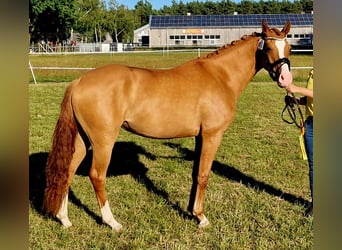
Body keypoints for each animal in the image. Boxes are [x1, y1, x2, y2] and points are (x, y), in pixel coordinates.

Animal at [42, 20, 292, 231]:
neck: (220, 75)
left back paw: (64, 219)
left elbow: (195, 173)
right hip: (103, 141)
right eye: (269, 48)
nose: (285, 79)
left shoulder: (199, 137)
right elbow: (204, 174)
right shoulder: (212, 135)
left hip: (82, 140)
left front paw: (191, 211)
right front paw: (201, 217)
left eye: (289, 48)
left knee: (67, 172)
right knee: (96, 176)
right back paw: (112, 222)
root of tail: (79, 82)